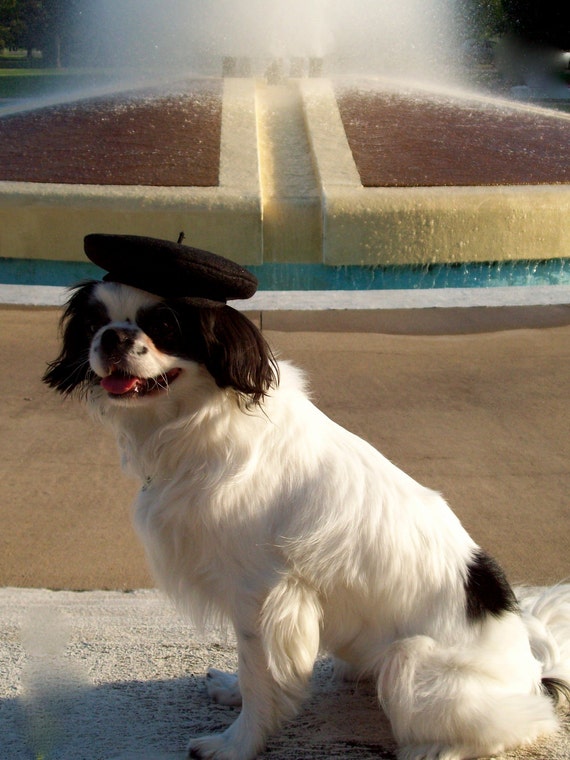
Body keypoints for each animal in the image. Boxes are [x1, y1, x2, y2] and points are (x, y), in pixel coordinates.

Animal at [45, 236, 568, 760]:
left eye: (165, 325)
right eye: (93, 323)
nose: (112, 337)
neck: (194, 426)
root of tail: (535, 677)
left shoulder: (264, 595)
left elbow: (261, 677)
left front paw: (236, 743)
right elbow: (249, 668)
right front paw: (231, 692)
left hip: (413, 659)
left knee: (515, 724)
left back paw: (437, 747)